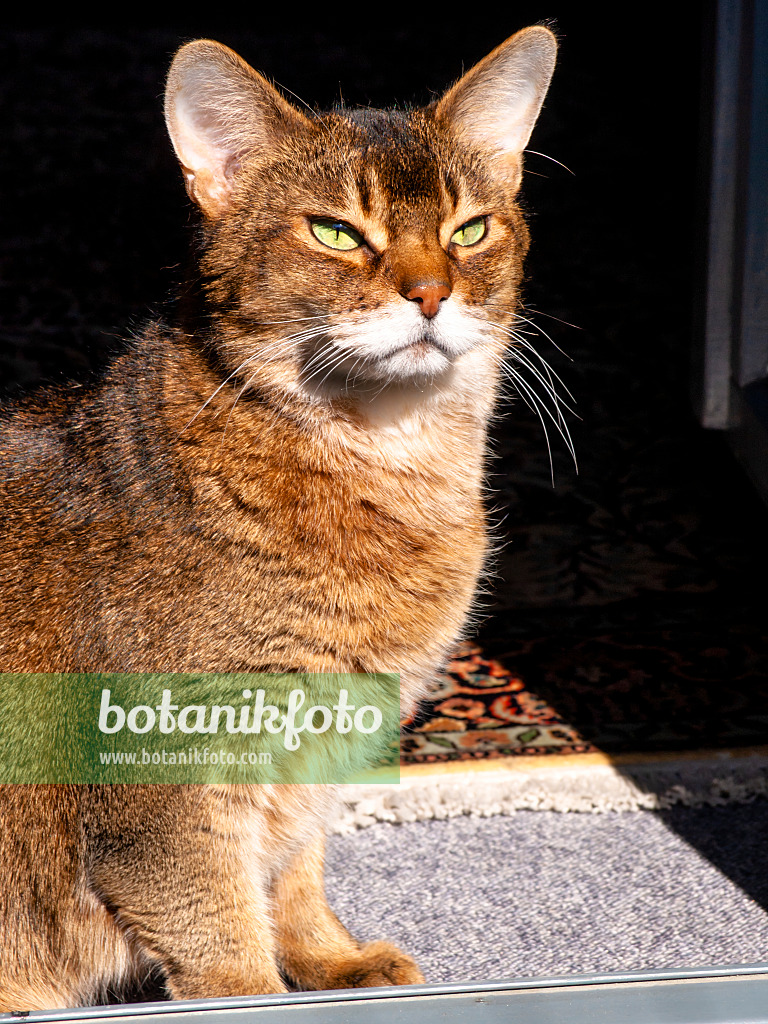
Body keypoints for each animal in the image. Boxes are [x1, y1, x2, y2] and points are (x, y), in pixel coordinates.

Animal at [0, 28, 557, 1011]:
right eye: (335, 231)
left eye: (470, 229)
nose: (429, 292)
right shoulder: (163, 779)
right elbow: (218, 926)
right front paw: (258, 989)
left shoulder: (325, 738)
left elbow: (293, 866)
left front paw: (331, 960)